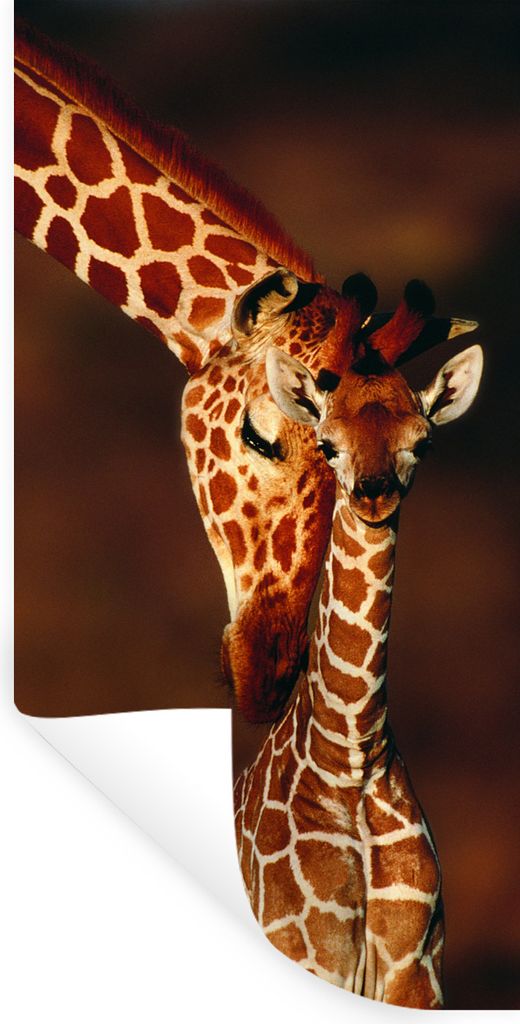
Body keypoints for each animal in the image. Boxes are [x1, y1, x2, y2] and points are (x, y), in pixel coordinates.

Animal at [234, 279, 483, 1007]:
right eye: (327, 444)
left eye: (421, 443)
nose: (373, 494)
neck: (351, 757)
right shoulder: (306, 955)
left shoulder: (417, 972)